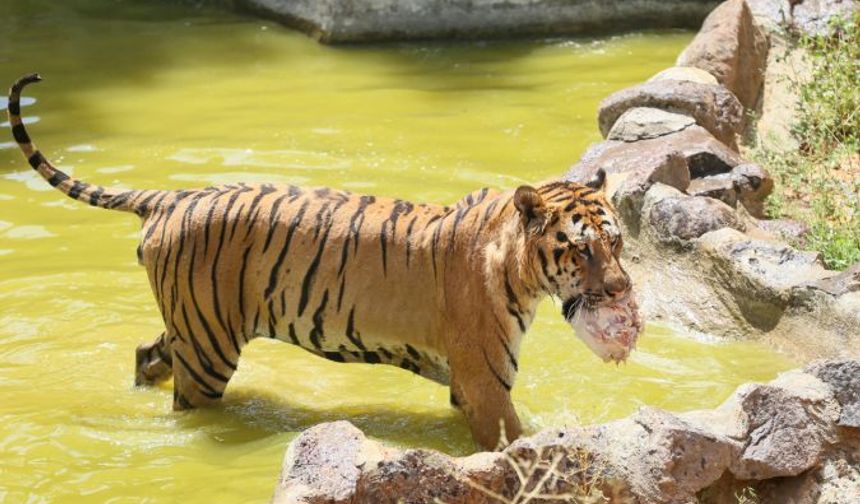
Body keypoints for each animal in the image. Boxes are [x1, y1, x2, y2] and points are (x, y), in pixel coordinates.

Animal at [10, 74, 636, 448]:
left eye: (618, 243)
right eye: (581, 248)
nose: (621, 291)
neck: (517, 265)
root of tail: (167, 197)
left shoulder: (471, 385)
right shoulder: (484, 382)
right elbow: (516, 440)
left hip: (193, 325)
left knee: (147, 352)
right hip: (209, 346)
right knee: (187, 402)